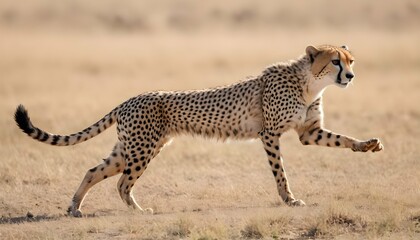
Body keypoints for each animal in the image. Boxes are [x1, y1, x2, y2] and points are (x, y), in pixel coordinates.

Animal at [14, 44, 384, 218]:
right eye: (335, 61)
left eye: (351, 61)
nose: (350, 76)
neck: (309, 83)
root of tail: (128, 99)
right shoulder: (270, 134)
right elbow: (280, 172)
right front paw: (289, 199)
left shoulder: (309, 133)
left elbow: (342, 139)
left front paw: (367, 145)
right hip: (142, 149)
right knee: (121, 182)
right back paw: (138, 211)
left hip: (130, 148)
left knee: (94, 170)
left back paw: (75, 208)